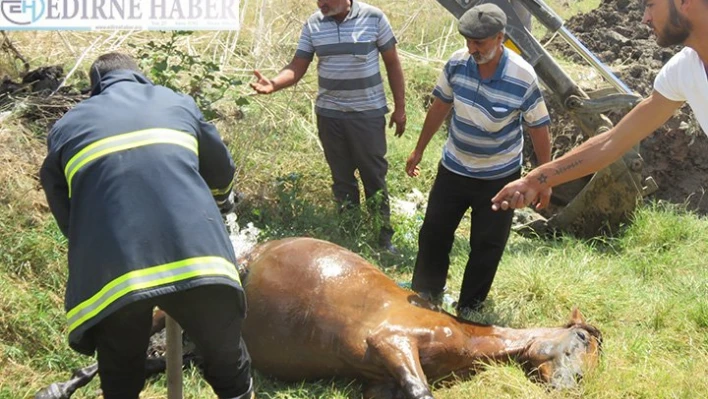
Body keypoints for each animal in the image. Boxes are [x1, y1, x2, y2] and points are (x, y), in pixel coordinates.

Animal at [36, 238, 600, 399]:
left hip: (191, 349)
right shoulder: (392, 342)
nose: (573, 386)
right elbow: (421, 392)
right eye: (580, 340)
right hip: (172, 312)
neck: (457, 335)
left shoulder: (379, 382)